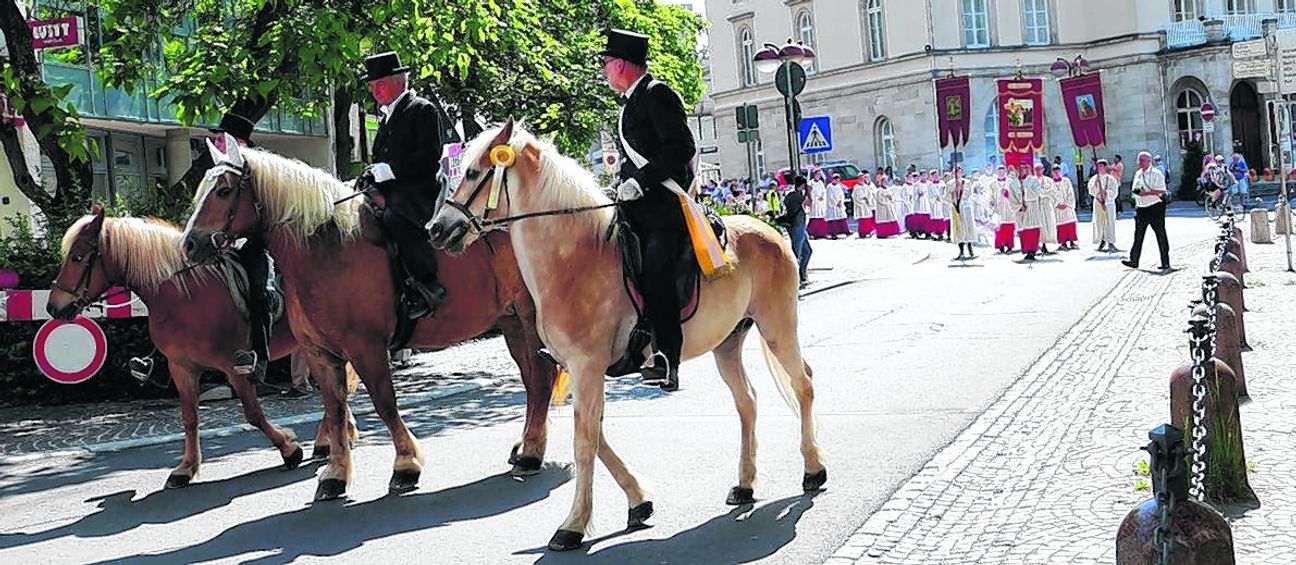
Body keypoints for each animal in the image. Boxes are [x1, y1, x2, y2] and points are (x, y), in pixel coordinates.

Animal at [46, 207, 359, 488]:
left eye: (78, 257)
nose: (53, 307)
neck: (185, 295)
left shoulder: (235, 368)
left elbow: (253, 414)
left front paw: (289, 449)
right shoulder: (182, 369)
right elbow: (189, 418)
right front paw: (185, 468)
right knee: (333, 394)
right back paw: (331, 439)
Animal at [179, 139, 557, 501]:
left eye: (223, 190)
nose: (188, 246)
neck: (328, 248)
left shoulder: (367, 348)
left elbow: (384, 403)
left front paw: (405, 465)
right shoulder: (320, 354)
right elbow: (334, 409)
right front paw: (335, 474)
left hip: (530, 317)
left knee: (542, 375)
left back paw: (531, 452)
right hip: (511, 321)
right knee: (530, 377)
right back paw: (527, 443)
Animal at [427, 120, 824, 551]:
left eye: (471, 173)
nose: (436, 230)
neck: (572, 260)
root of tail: (770, 229)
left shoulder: (587, 366)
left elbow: (585, 441)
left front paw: (573, 525)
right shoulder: (584, 370)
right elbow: (596, 434)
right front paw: (639, 501)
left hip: (777, 325)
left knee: (803, 384)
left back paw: (813, 469)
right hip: (728, 343)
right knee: (746, 401)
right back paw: (745, 484)